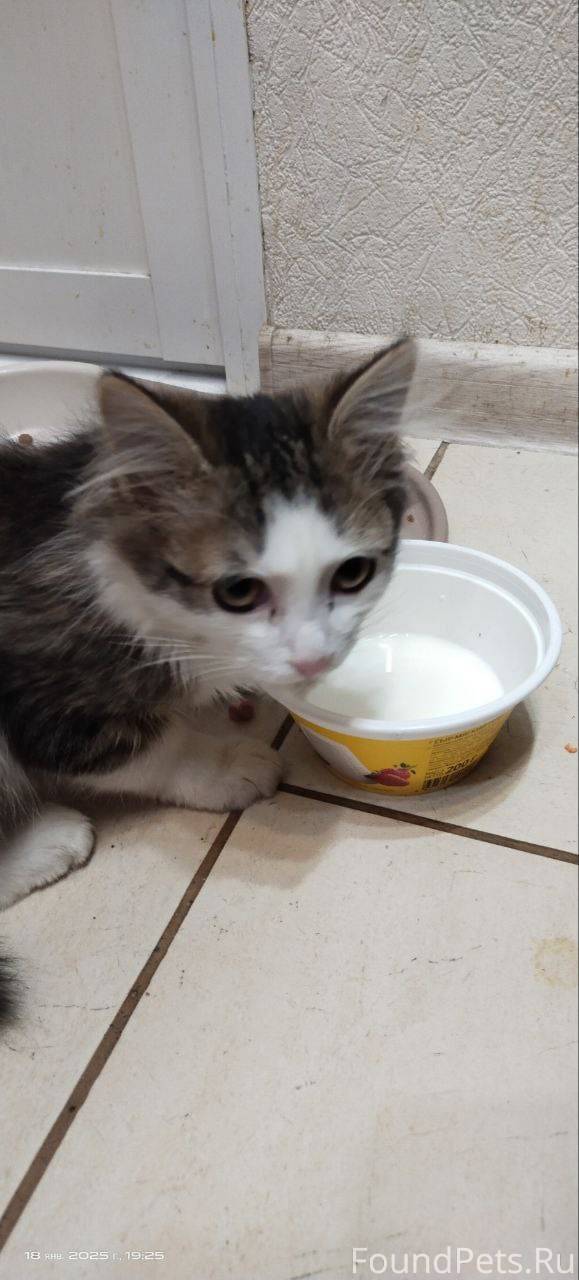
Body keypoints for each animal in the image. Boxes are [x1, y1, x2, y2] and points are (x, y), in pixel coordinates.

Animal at [0, 336, 415, 1020]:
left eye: (353, 574)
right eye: (238, 592)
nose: (313, 659)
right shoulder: (44, 694)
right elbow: (145, 748)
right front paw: (222, 765)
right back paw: (44, 844)